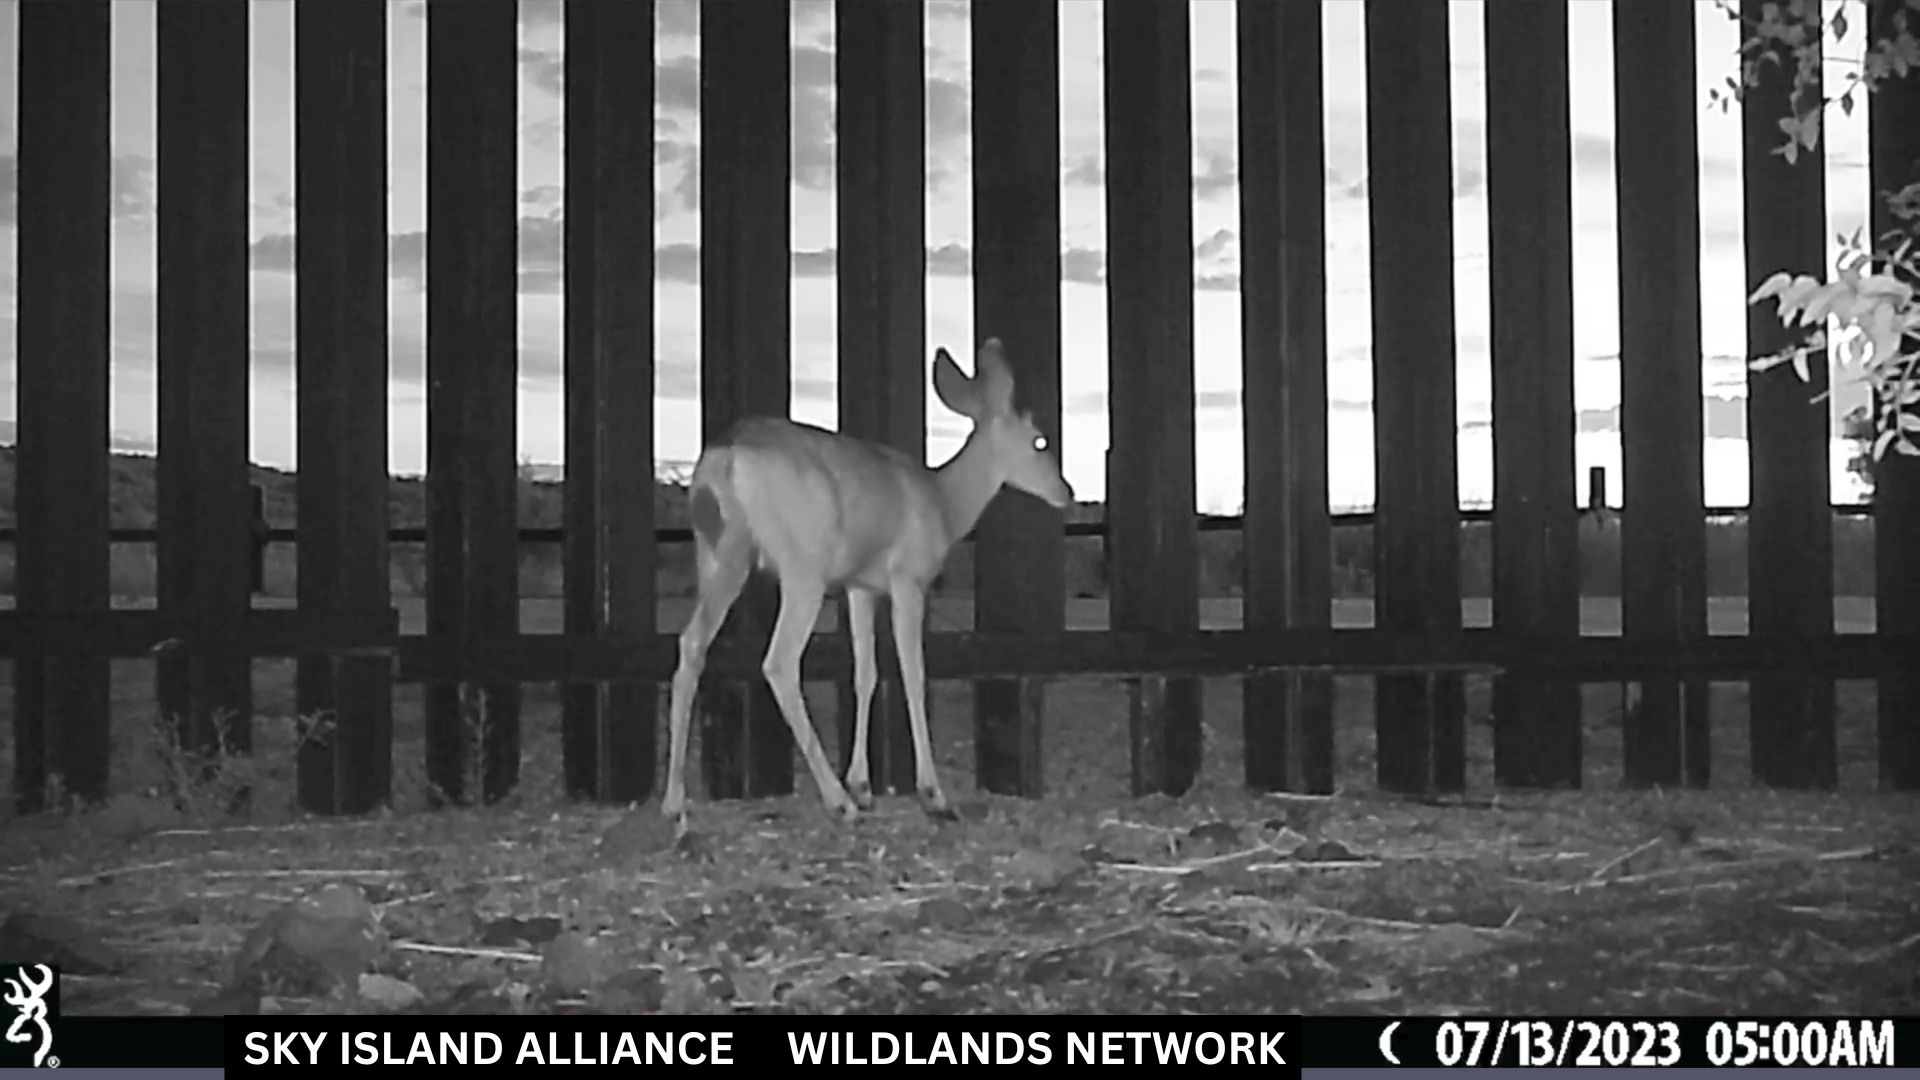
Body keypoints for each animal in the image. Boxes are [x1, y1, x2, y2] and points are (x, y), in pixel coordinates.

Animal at [661, 338, 1074, 829]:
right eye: (1040, 440)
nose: (1067, 491)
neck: (944, 502)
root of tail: (726, 457)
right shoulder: (908, 579)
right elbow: (913, 673)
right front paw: (932, 794)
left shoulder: (861, 587)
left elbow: (865, 673)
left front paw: (862, 785)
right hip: (802, 567)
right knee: (779, 662)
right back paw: (836, 801)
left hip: (718, 555)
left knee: (691, 645)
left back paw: (674, 801)